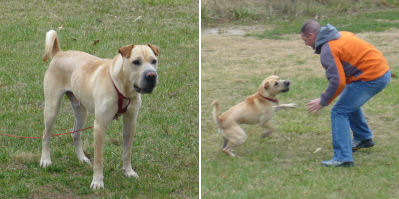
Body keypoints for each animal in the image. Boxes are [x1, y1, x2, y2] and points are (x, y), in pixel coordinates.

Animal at [40, 29, 159, 190]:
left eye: (154, 61)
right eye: (136, 62)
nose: (151, 75)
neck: (121, 87)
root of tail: (59, 53)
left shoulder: (130, 122)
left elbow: (127, 151)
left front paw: (128, 171)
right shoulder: (100, 126)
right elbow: (98, 159)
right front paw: (97, 181)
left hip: (81, 111)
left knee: (75, 134)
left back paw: (82, 158)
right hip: (52, 108)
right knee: (46, 135)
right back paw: (45, 160)